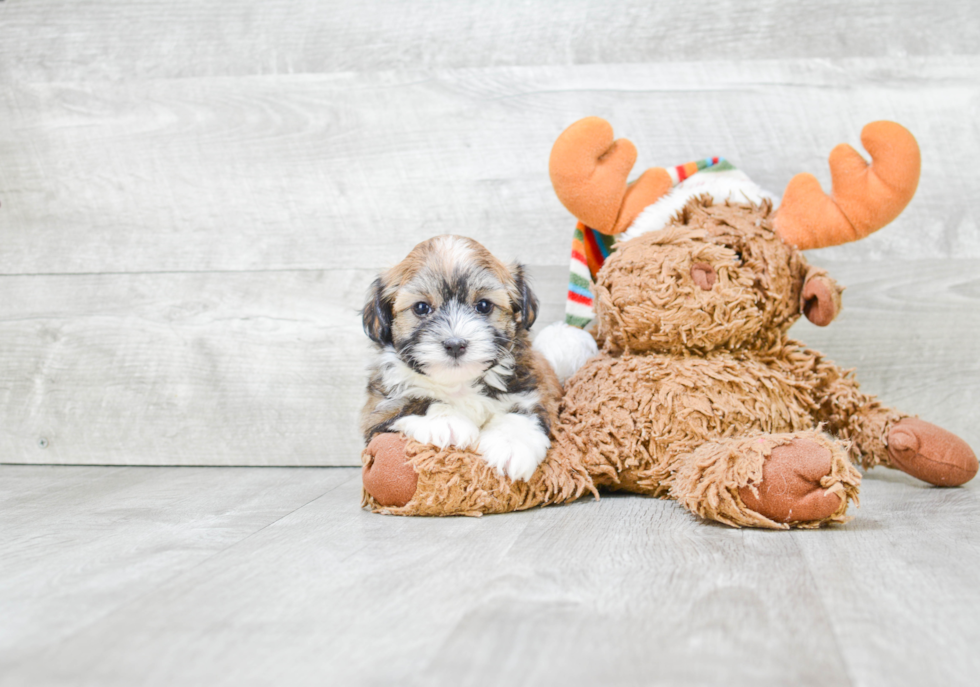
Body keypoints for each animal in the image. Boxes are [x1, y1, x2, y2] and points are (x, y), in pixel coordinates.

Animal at [360, 236, 560, 484]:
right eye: (421, 308)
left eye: (483, 305)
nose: (455, 344)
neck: (459, 383)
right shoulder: (376, 410)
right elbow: (410, 402)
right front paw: (446, 421)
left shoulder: (532, 390)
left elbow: (521, 412)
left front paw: (511, 446)